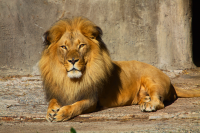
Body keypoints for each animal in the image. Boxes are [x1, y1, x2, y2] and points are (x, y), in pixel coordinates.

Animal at [38, 16, 200, 121]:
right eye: (64, 47)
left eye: (81, 45)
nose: (72, 60)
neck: (71, 80)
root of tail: (171, 82)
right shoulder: (60, 93)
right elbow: (52, 101)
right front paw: (51, 112)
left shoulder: (91, 100)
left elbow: (76, 106)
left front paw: (61, 113)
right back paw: (145, 100)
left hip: (150, 78)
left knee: (159, 101)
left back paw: (149, 104)